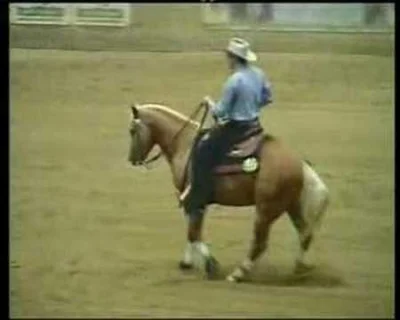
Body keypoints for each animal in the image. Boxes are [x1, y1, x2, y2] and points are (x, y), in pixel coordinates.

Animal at [126, 102, 330, 282]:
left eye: (132, 131)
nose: (132, 159)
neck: (185, 144)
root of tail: (299, 162)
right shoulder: (194, 202)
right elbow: (192, 231)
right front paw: (187, 262)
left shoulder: (193, 199)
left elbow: (194, 233)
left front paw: (210, 265)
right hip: (291, 205)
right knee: (304, 232)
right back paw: (301, 268)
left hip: (266, 210)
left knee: (260, 243)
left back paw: (238, 273)